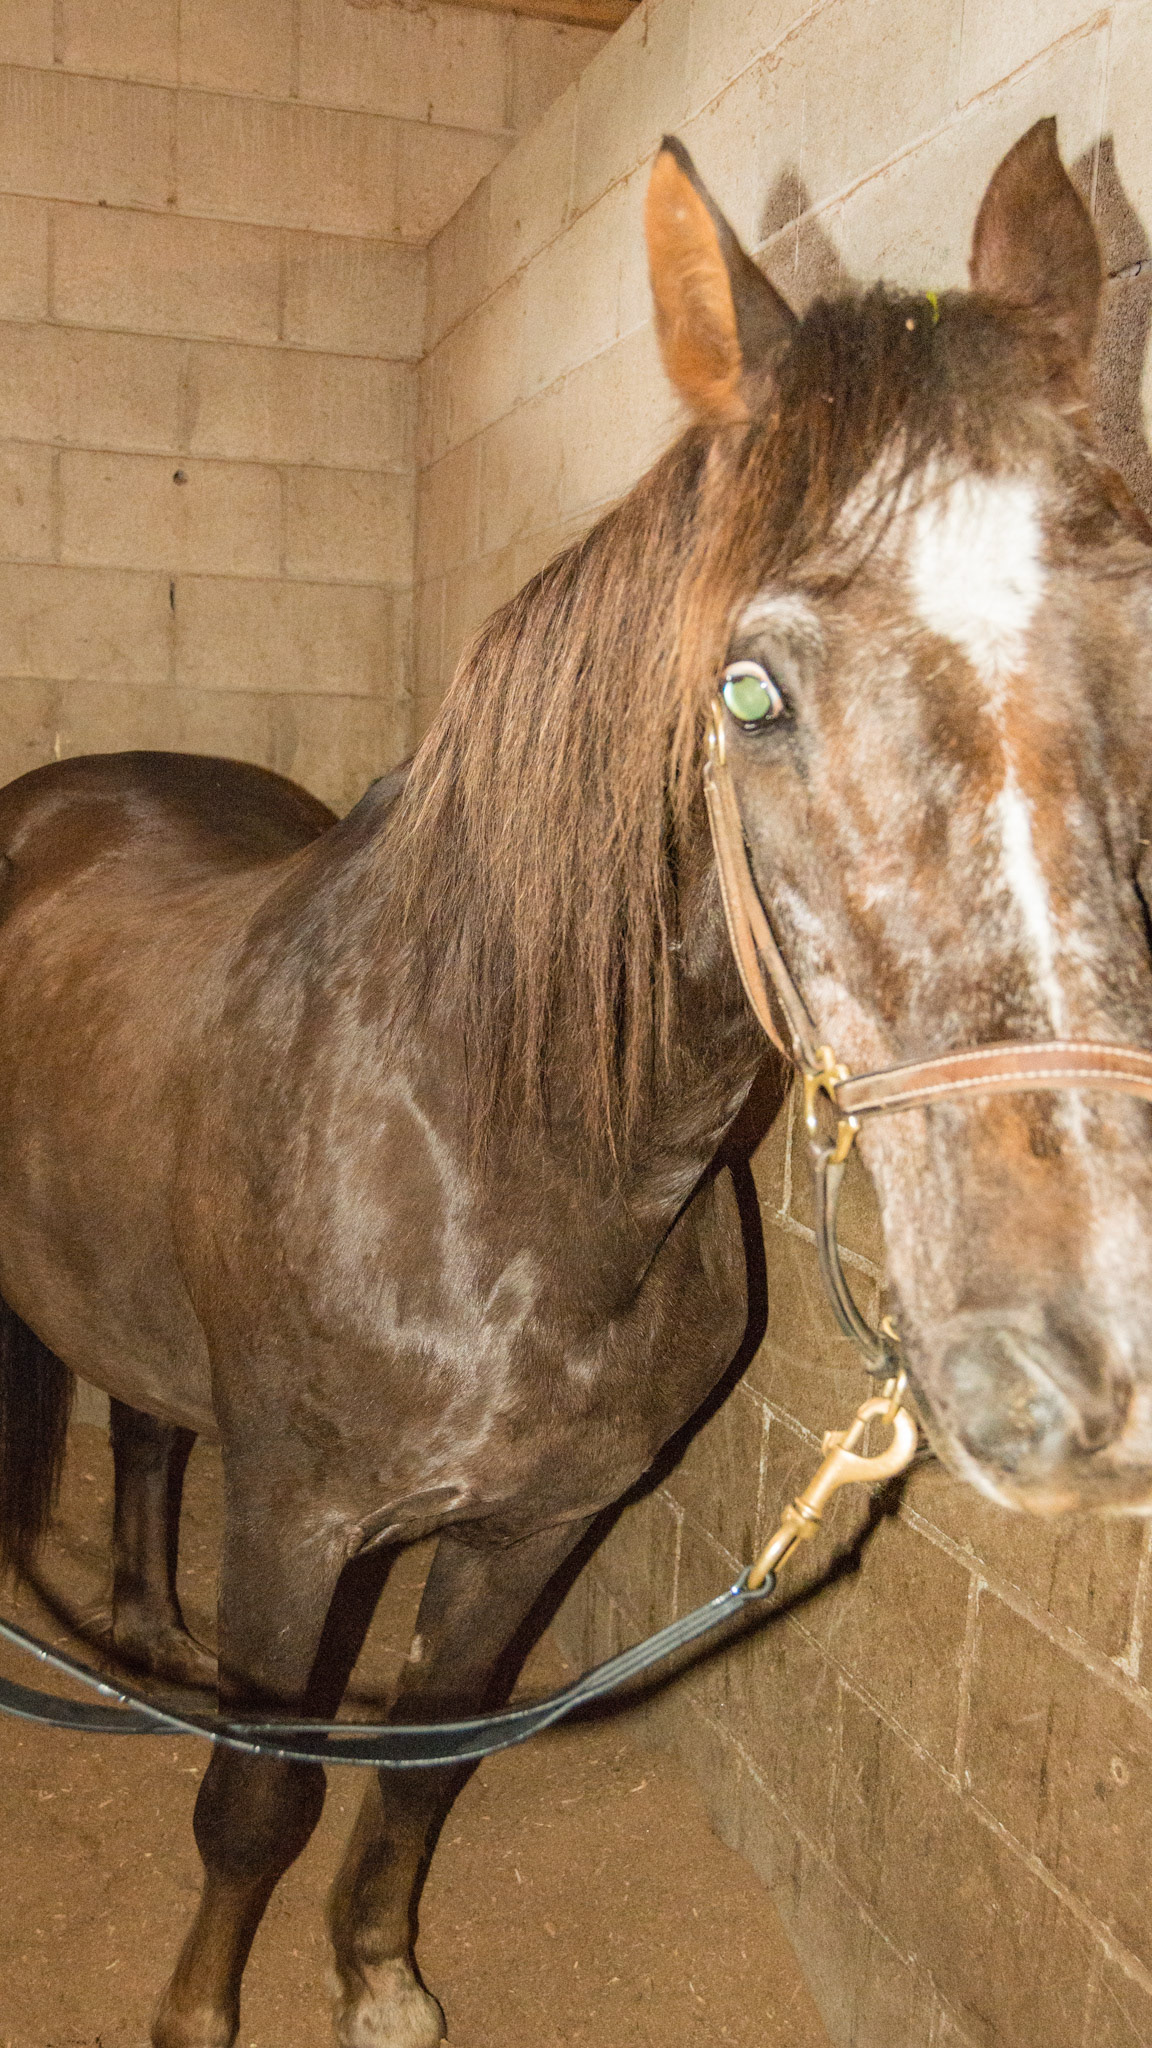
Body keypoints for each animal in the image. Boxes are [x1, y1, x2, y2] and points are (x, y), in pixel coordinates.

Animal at [1, 115, 1151, 2047]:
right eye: (749, 691)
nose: (1084, 1352)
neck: (493, 1161)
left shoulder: (535, 1530)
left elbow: (421, 1772)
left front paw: (381, 1978)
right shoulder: (299, 1521)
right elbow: (260, 1794)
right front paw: (201, 2012)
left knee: (147, 1420)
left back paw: (142, 1634)